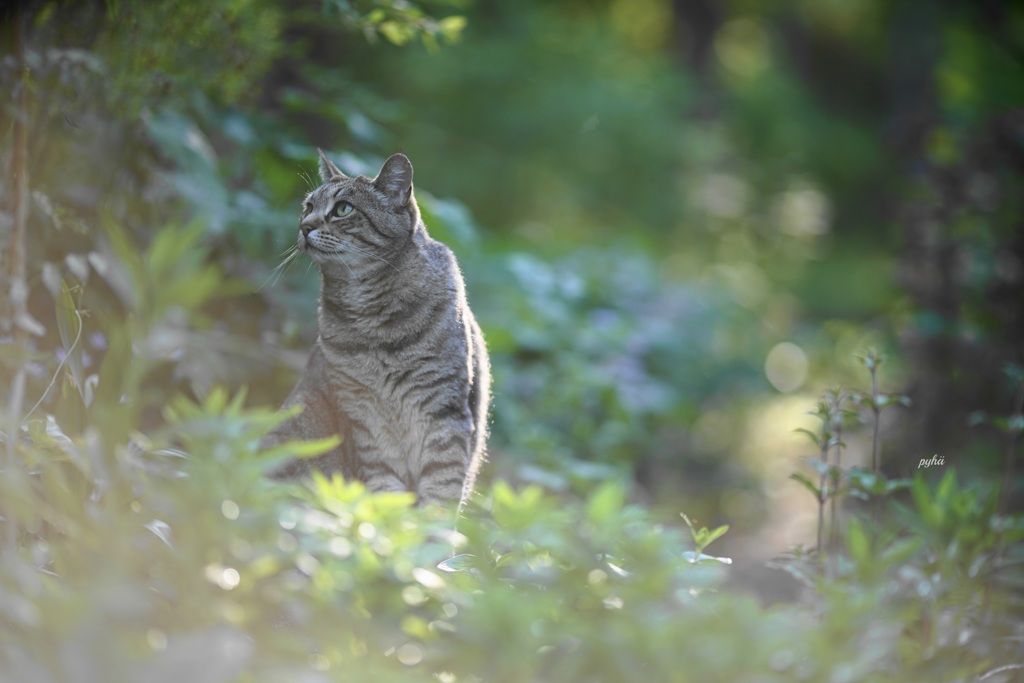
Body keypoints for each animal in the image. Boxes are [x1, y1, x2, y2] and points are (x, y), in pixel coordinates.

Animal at [262, 150, 489, 507]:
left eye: (343, 208)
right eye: (308, 206)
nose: (304, 226)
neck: (373, 321)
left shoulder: (444, 410)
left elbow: (441, 489)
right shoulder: (364, 417)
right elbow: (385, 490)